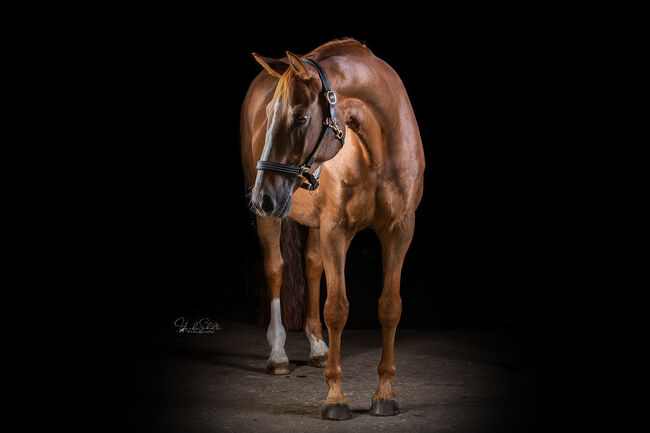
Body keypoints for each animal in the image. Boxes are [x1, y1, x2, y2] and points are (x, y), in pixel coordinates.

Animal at [240, 38, 422, 418]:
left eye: (301, 117)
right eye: (269, 115)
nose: (263, 197)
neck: (376, 151)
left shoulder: (400, 231)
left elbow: (390, 307)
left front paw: (385, 394)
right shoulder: (337, 231)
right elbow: (337, 308)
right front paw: (336, 398)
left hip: (313, 222)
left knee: (311, 266)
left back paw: (317, 347)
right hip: (274, 220)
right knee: (276, 269)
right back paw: (278, 355)